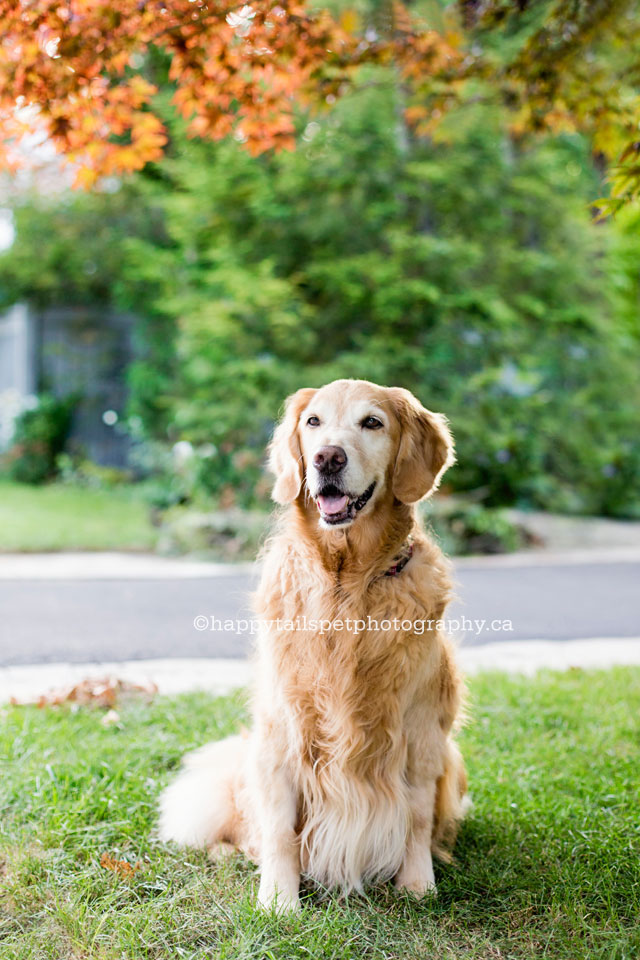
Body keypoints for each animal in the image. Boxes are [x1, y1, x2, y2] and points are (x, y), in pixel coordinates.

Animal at [159, 378, 470, 912]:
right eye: (313, 422)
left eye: (373, 423)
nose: (327, 458)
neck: (346, 585)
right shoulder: (282, 733)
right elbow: (280, 829)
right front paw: (278, 902)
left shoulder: (421, 733)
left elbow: (415, 817)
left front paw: (418, 886)